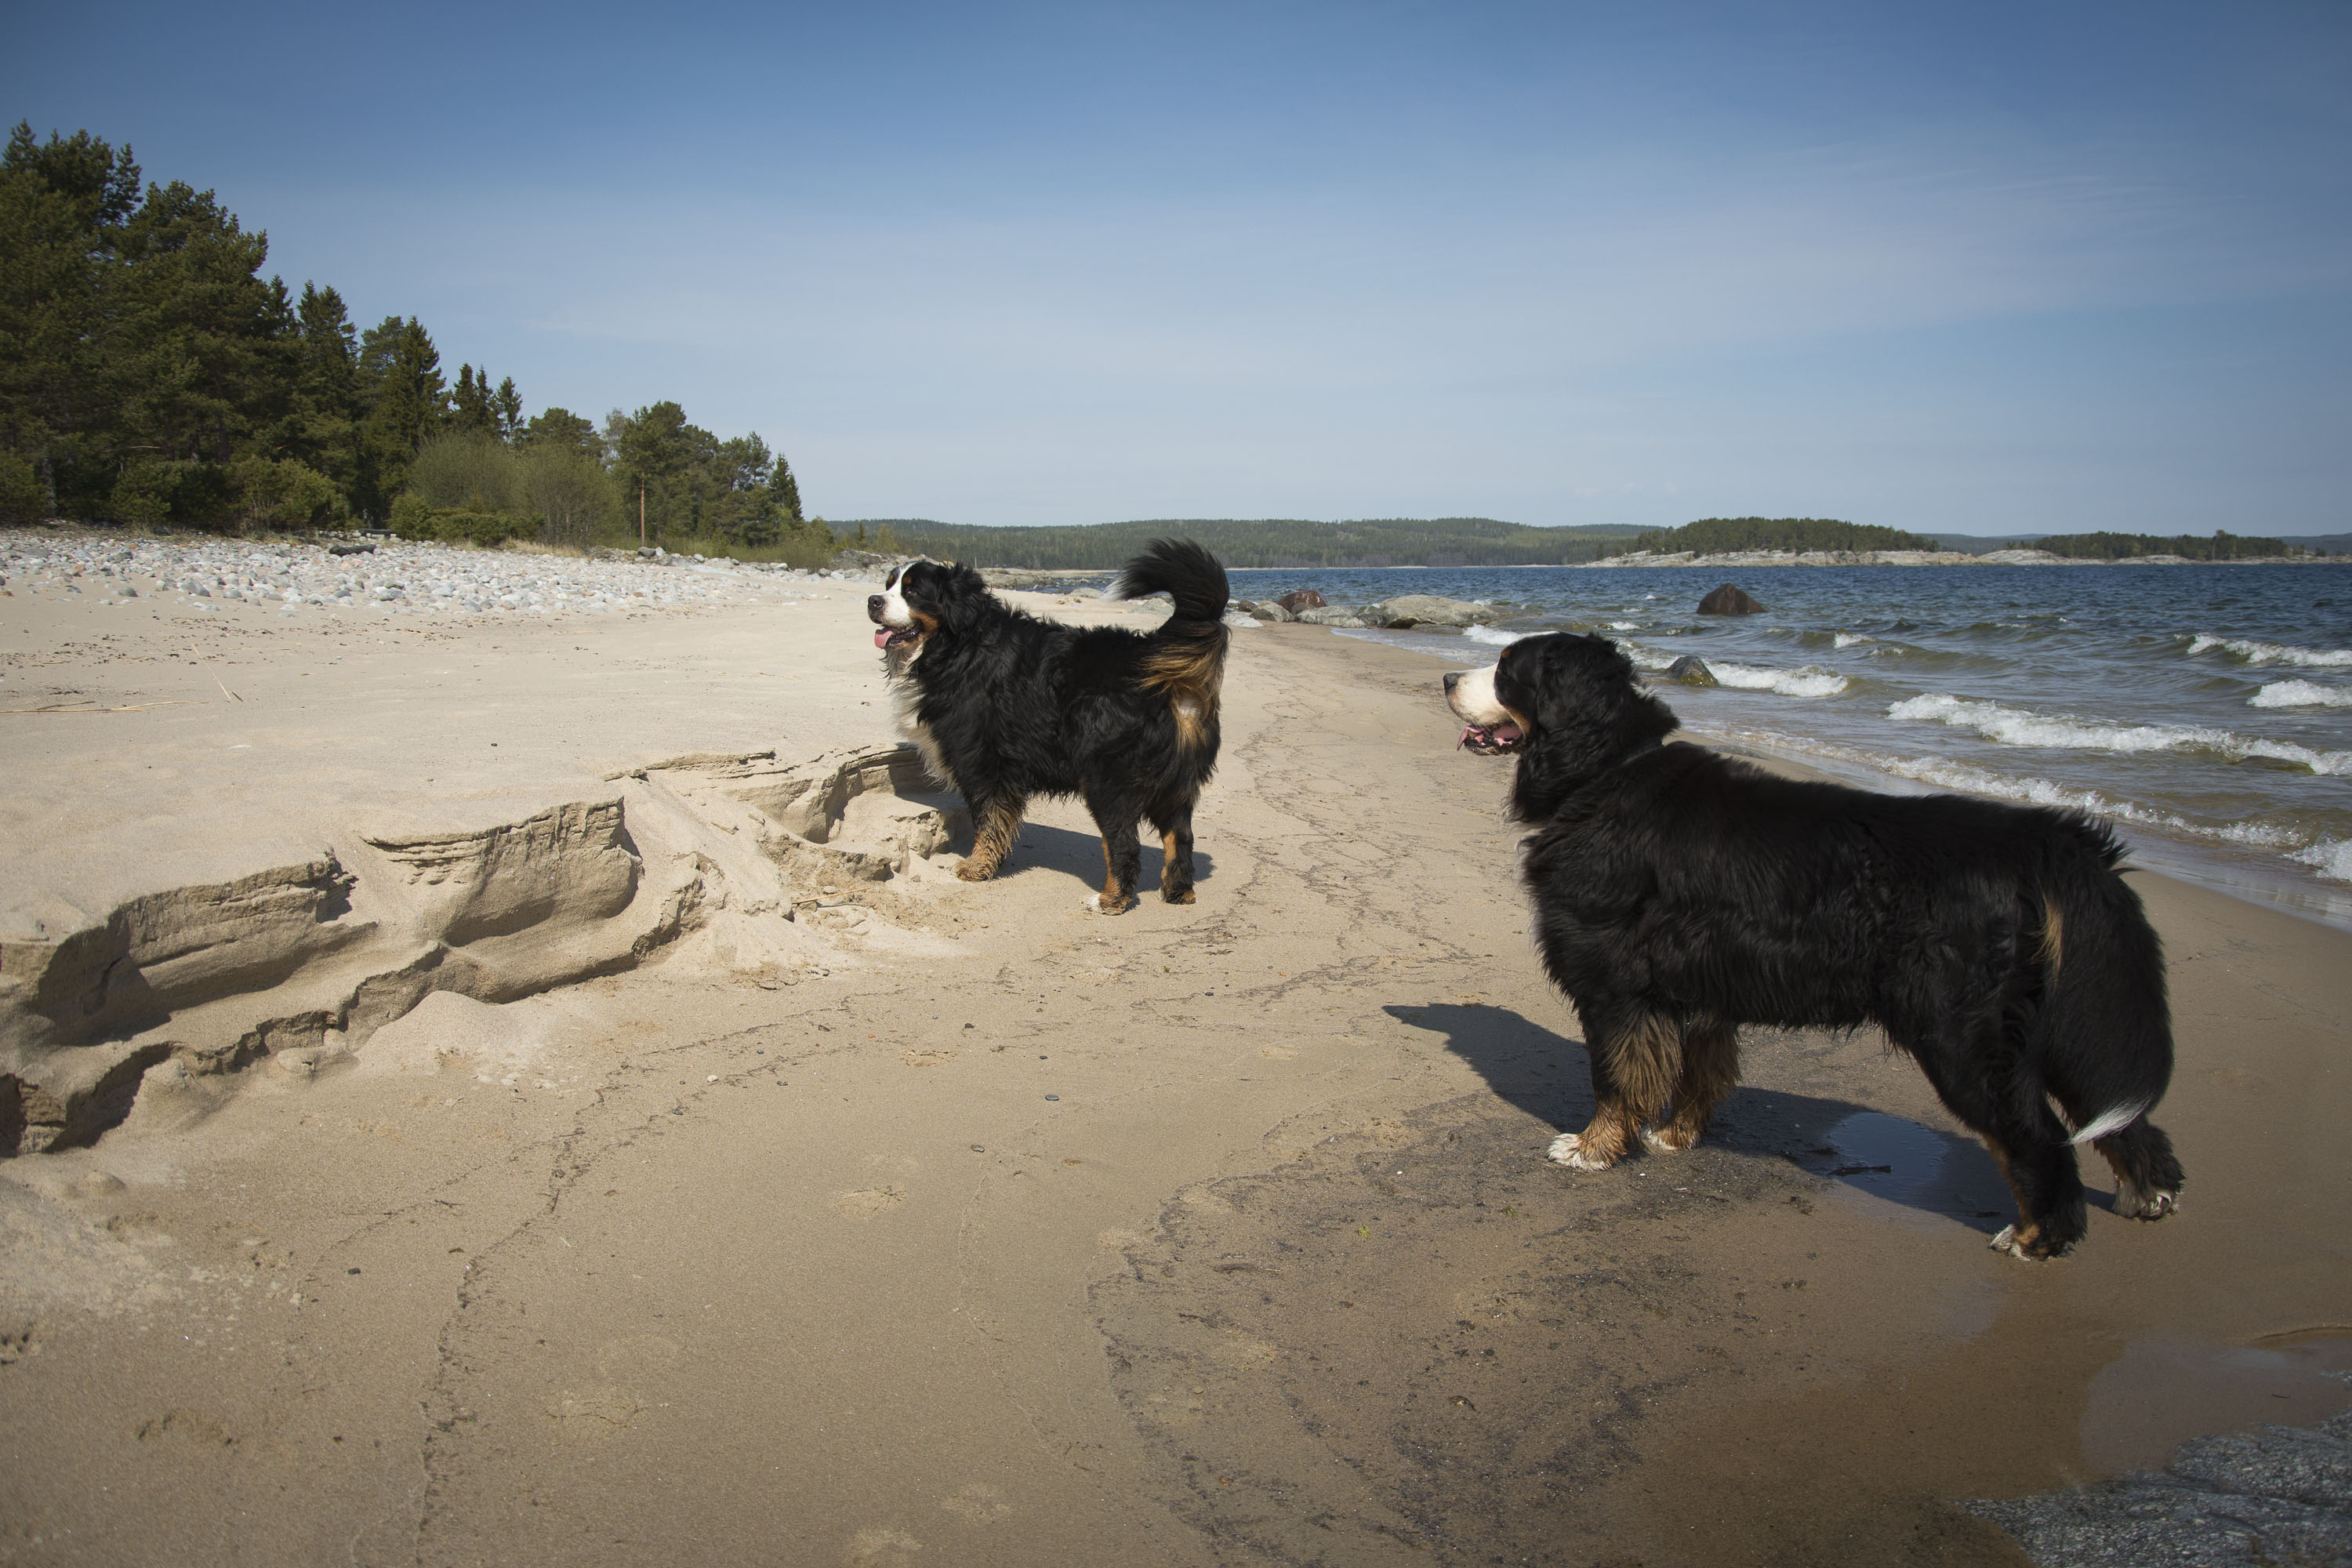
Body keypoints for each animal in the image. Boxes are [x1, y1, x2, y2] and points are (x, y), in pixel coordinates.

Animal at [866, 539, 1229, 913]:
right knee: (1180, 838)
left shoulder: (982, 764)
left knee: (1124, 844)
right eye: (888, 584)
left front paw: (977, 867)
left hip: (1108, 781)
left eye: (912, 592)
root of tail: (1153, 660)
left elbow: (987, 821)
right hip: (1176, 783)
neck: (957, 647)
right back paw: (1177, 891)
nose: (873, 601)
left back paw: (1110, 900)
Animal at [1444, 632, 2183, 1259]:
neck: (1605, 773)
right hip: (2050, 1019)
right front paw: (1676, 1136)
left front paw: (1593, 1149)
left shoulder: (1613, 983)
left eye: (1507, 667)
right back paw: (2148, 1193)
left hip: (1963, 1033)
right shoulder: (1696, 986)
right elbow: (1696, 1071)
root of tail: (2042, 839)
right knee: (2117, 1114)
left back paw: (2037, 1237)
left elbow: (1616, 1077)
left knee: (2040, 1138)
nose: (1448, 677)